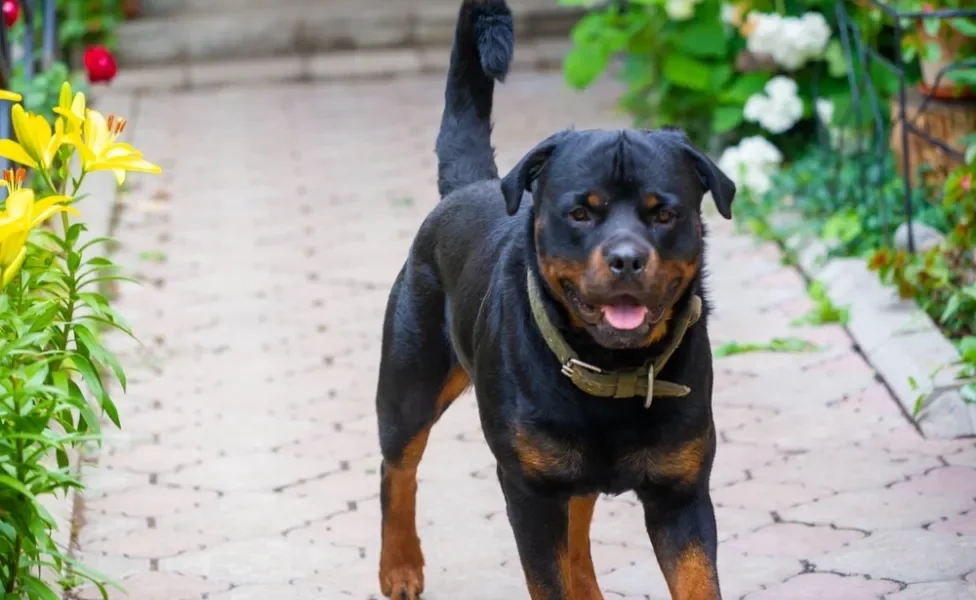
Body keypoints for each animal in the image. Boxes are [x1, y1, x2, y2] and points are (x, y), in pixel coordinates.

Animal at [372, 1, 732, 600]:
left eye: (664, 213)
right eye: (580, 212)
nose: (627, 258)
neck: (613, 369)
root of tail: (464, 190)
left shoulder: (681, 493)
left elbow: (696, 581)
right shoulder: (530, 493)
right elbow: (549, 576)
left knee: (579, 520)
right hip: (408, 387)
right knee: (397, 468)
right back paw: (399, 567)